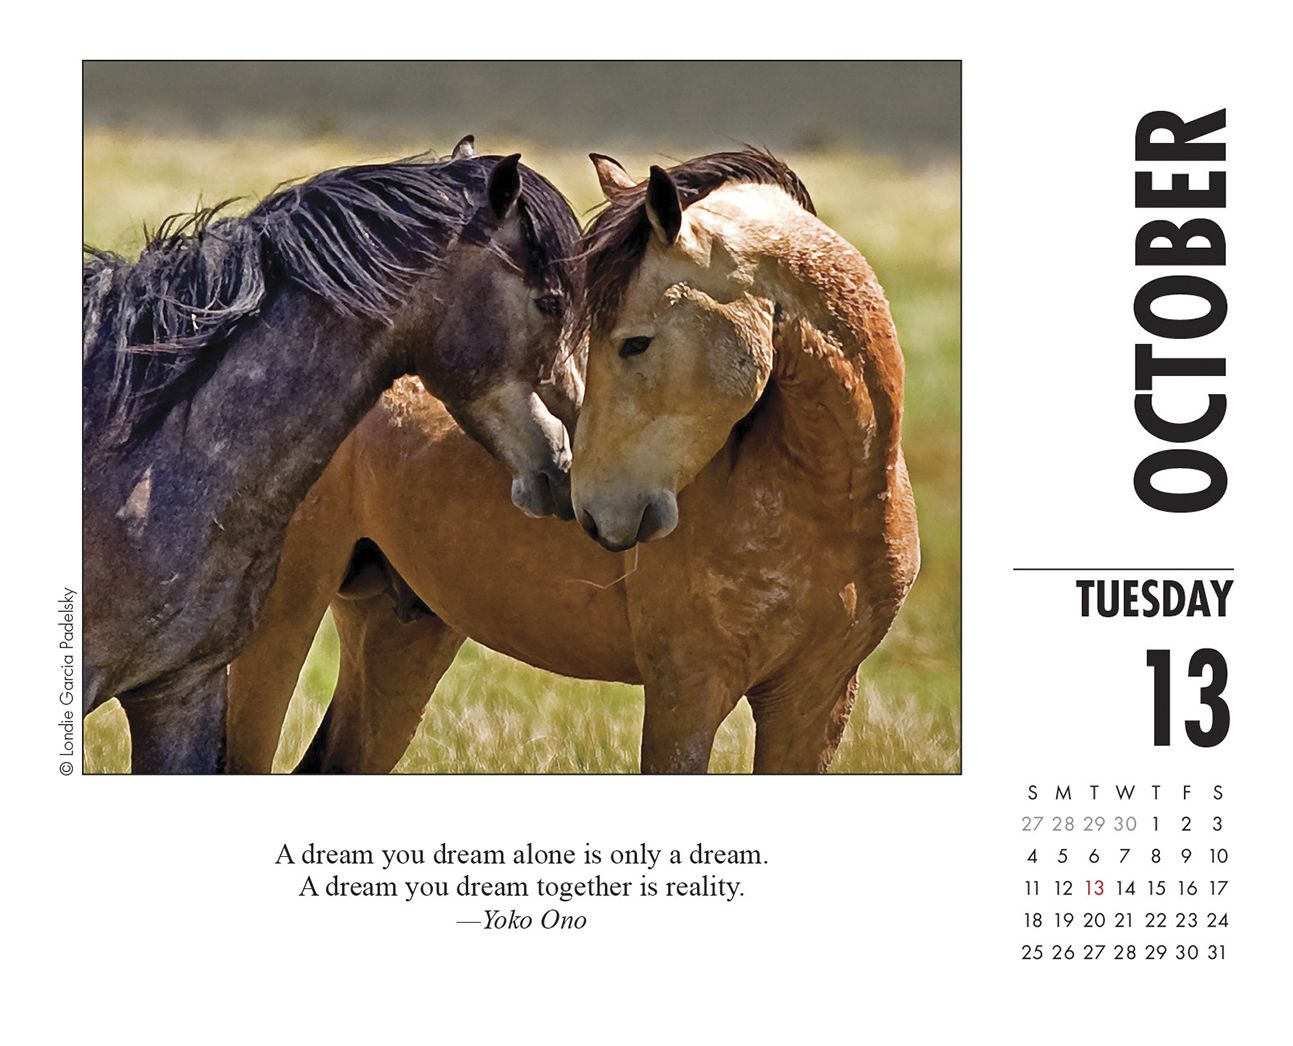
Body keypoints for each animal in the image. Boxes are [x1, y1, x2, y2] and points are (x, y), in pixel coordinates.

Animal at [225, 148, 919, 774]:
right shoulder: (687, 693)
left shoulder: (814, 702)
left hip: (401, 633)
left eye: (635, 342)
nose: (591, 511)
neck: (826, 504)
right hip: (280, 624)